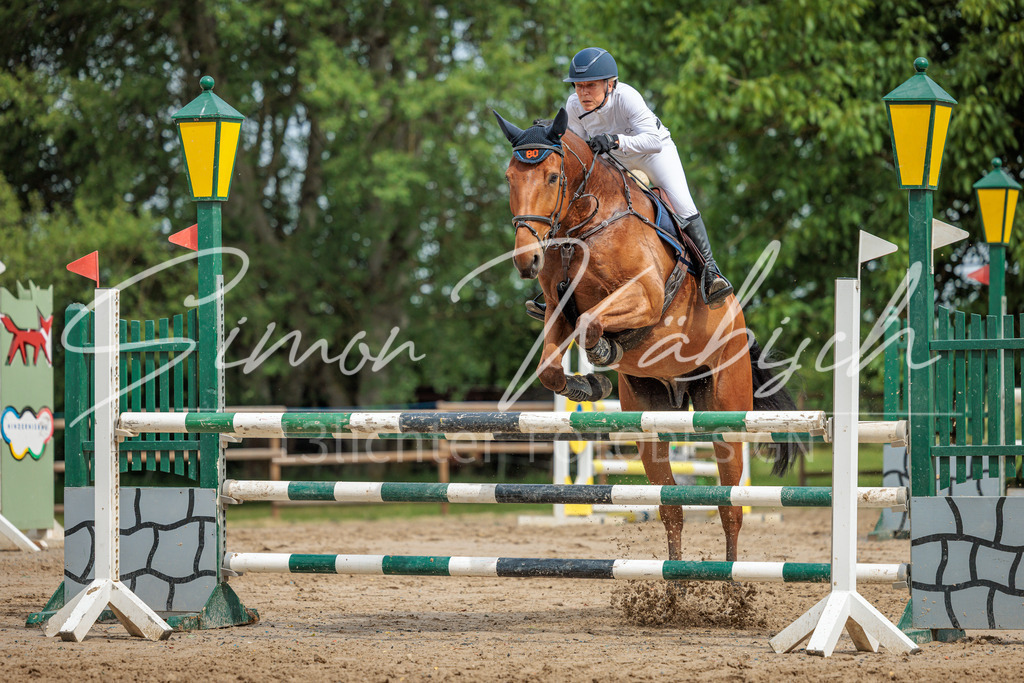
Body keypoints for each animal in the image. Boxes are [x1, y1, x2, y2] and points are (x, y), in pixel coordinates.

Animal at [494, 108, 802, 562]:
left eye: (551, 176)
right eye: (509, 177)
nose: (526, 260)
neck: (586, 226)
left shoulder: (646, 296)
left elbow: (593, 324)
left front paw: (604, 353)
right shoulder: (557, 309)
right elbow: (550, 366)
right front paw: (589, 384)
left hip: (725, 413)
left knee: (730, 505)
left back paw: (730, 578)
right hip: (648, 416)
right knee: (670, 505)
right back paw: (676, 578)